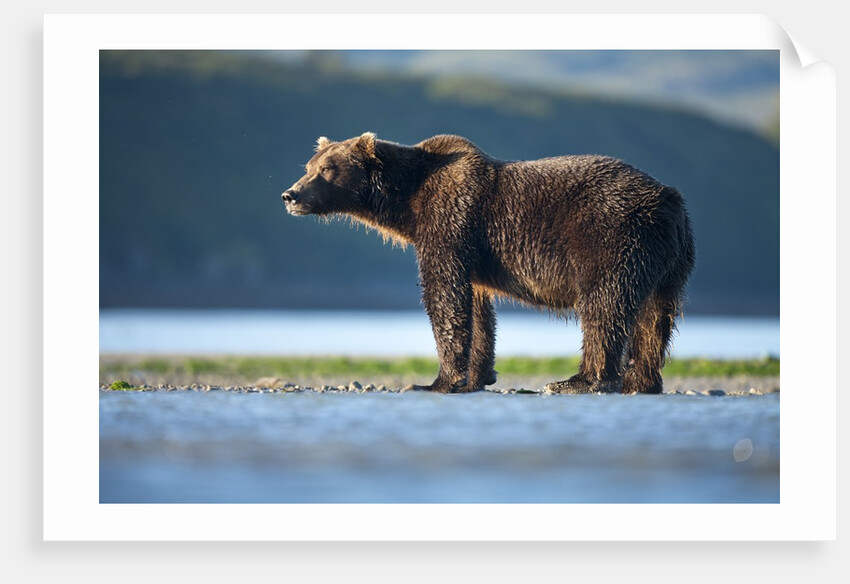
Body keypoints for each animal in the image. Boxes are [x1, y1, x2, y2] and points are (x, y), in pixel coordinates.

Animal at [281, 132, 695, 394]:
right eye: (308, 165)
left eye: (328, 169)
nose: (291, 194)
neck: (408, 203)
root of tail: (669, 200)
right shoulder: (474, 255)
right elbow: (478, 311)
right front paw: (477, 376)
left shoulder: (450, 222)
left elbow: (444, 295)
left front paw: (436, 381)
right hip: (668, 260)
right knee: (655, 318)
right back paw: (641, 382)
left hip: (612, 237)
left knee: (604, 307)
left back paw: (577, 381)